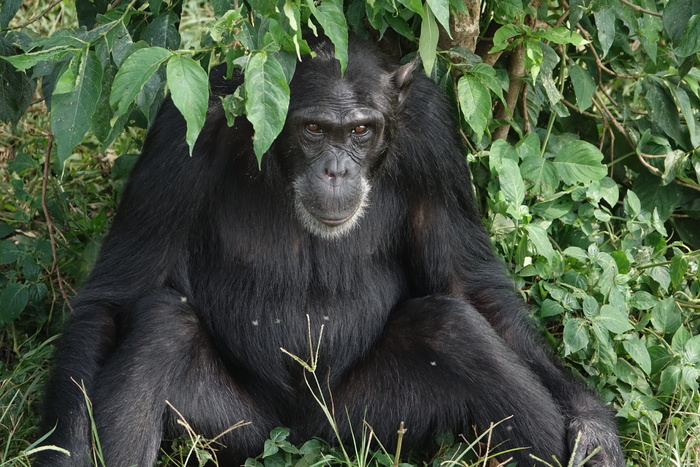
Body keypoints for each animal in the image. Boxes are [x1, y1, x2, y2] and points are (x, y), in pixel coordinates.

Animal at [35, 34, 624, 466]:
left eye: (361, 130)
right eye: (314, 128)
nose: (337, 169)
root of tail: (301, 438)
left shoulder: (432, 133)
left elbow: (469, 285)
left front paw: (592, 425)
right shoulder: (185, 130)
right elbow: (117, 295)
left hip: (367, 427)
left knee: (453, 327)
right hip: (239, 434)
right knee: (163, 327)